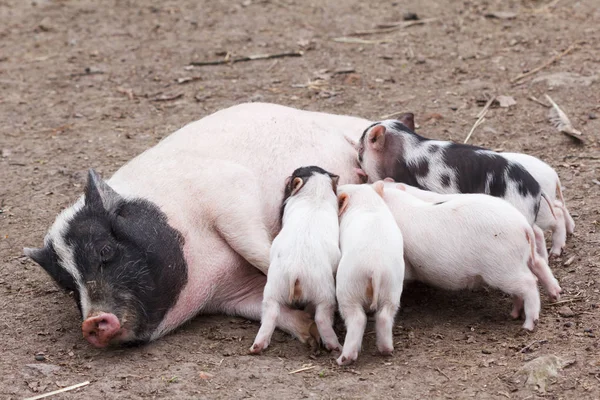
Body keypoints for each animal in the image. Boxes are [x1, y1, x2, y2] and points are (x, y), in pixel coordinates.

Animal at [23, 102, 368, 346]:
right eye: (69, 287)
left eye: (105, 250)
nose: (92, 322)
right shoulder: (231, 296)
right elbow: (265, 305)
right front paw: (309, 332)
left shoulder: (229, 193)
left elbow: (259, 251)